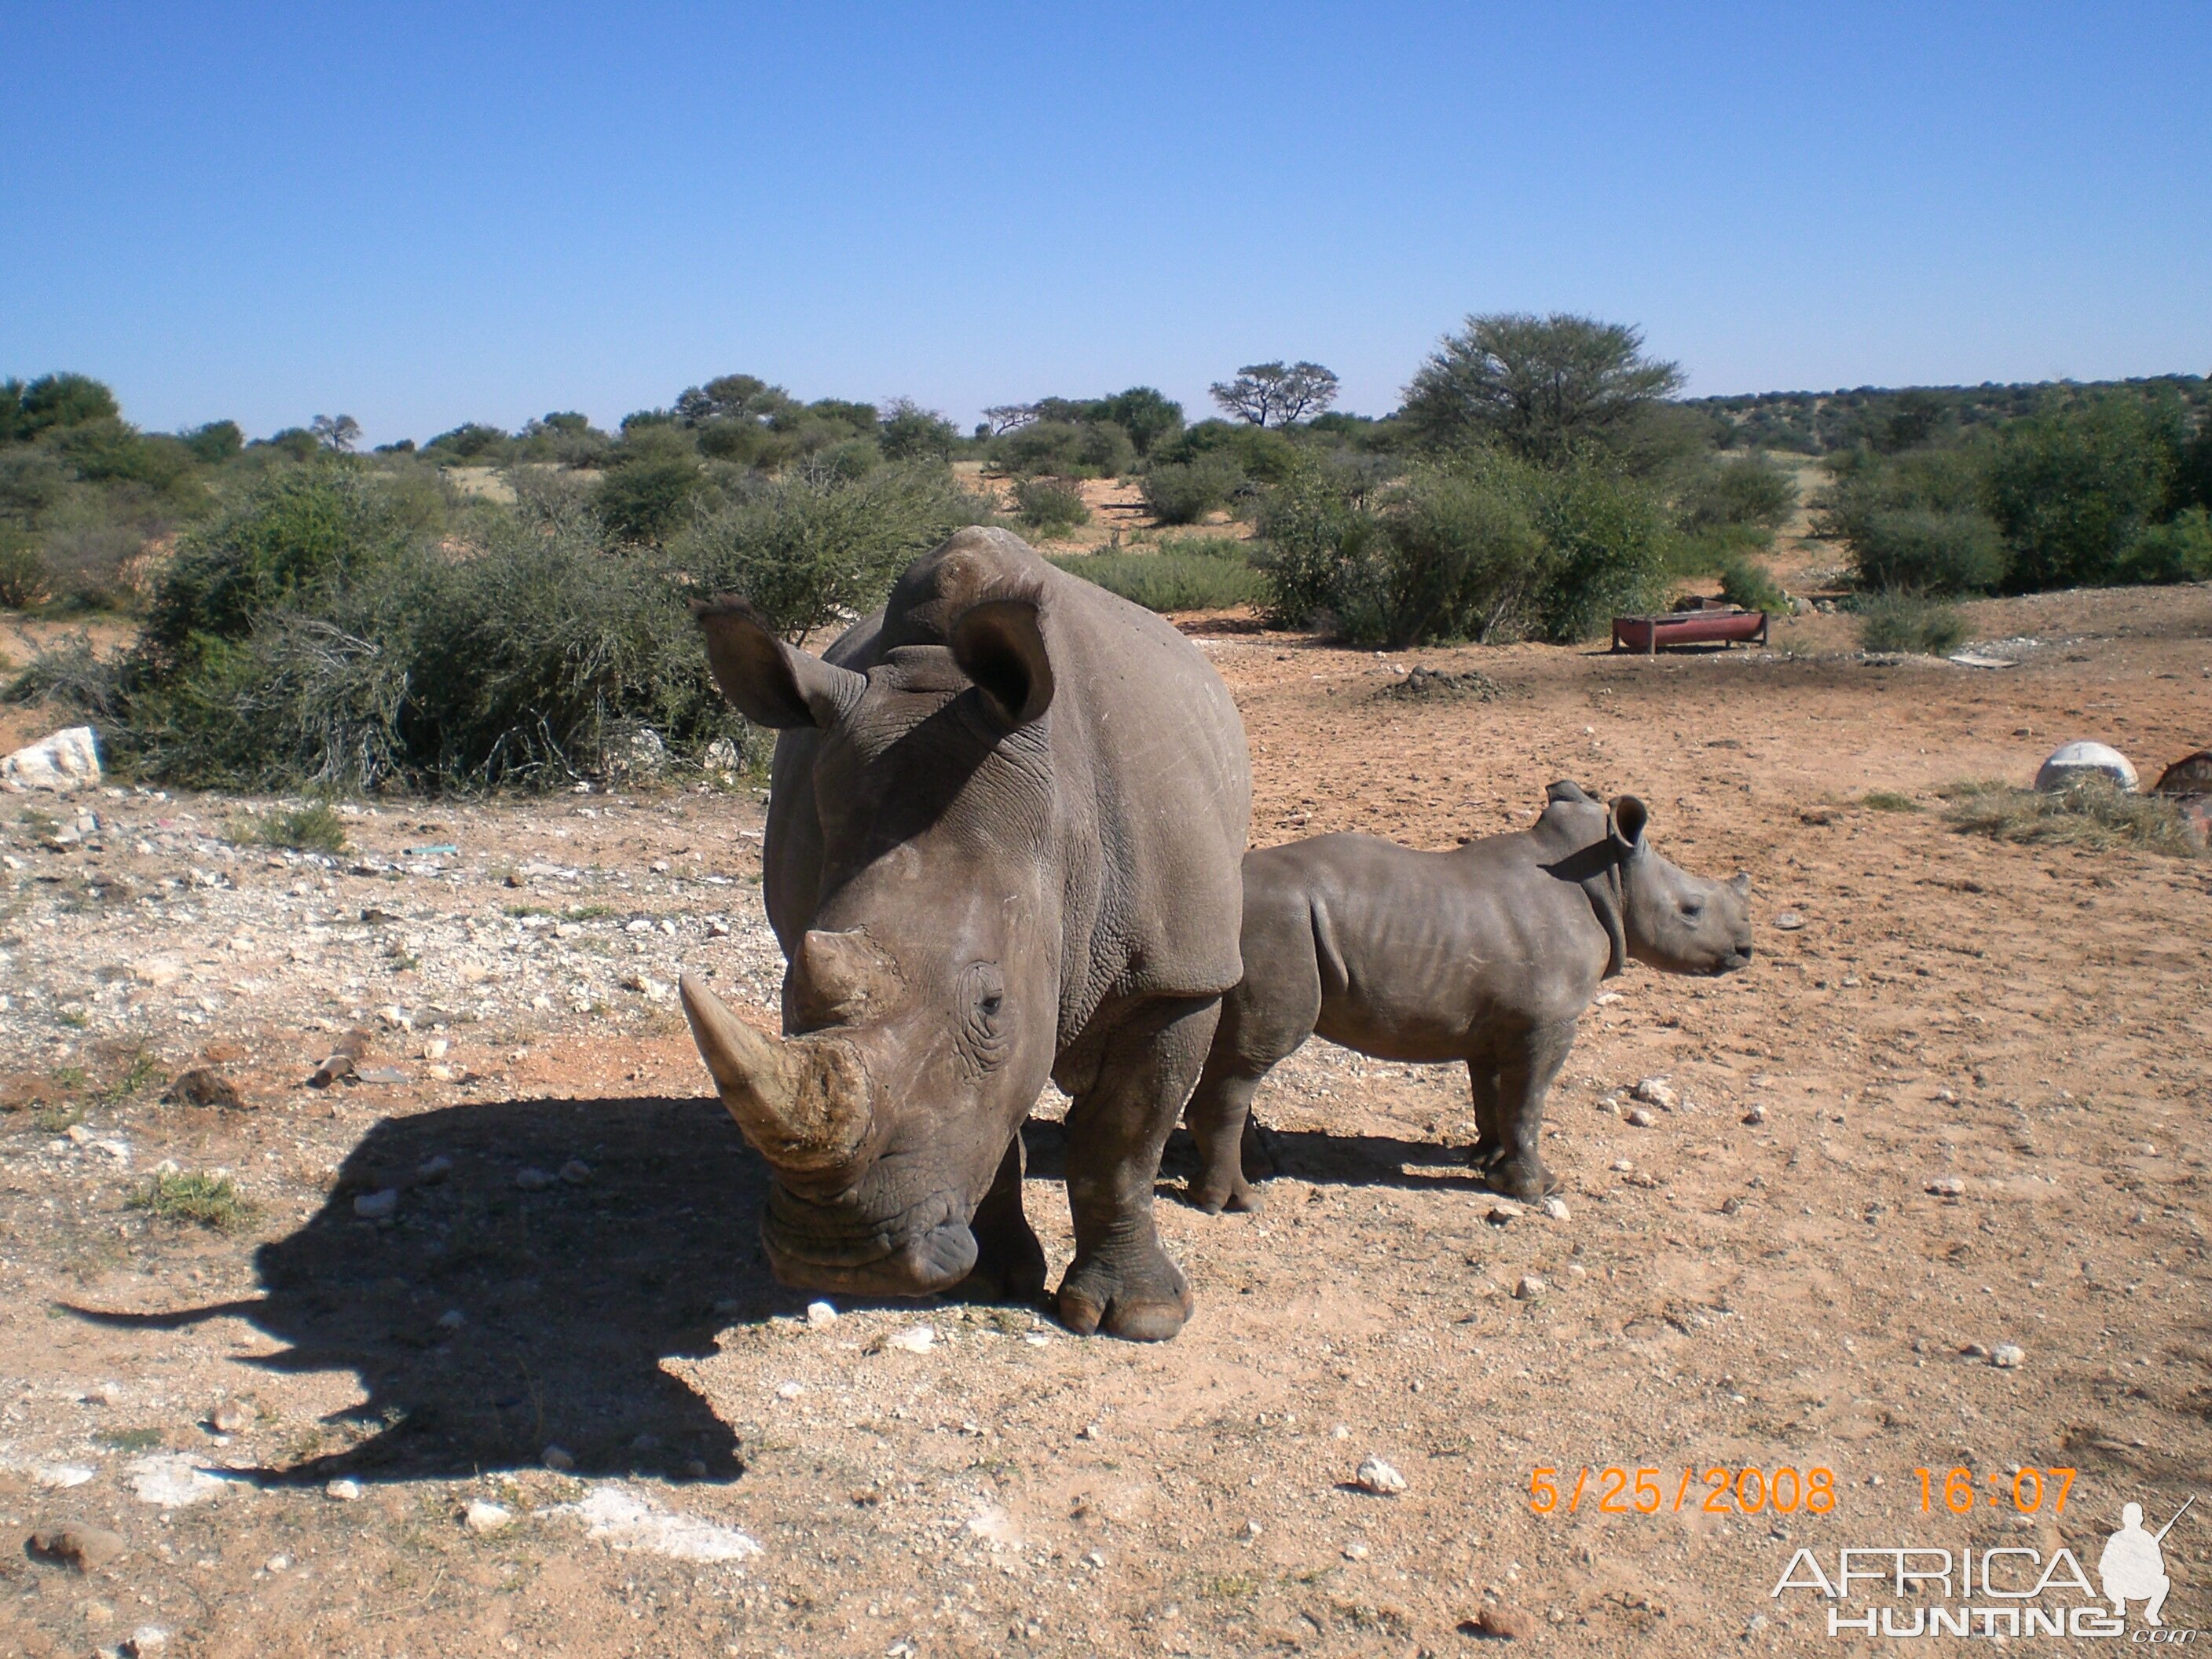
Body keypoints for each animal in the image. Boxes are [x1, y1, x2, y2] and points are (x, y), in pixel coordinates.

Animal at [1185, 782, 1752, 1212]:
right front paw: (1535, 1189)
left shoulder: (1503, 1021)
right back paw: (1238, 1201)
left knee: (1236, 1056)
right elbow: (1529, 1101)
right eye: (1692, 910)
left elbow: (1495, 1093)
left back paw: (1254, 1167)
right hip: (1275, 929)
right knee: (1253, 1058)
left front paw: (1486, 1163)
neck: (1609, 879)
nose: (1745, 950)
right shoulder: (1549, 1020)